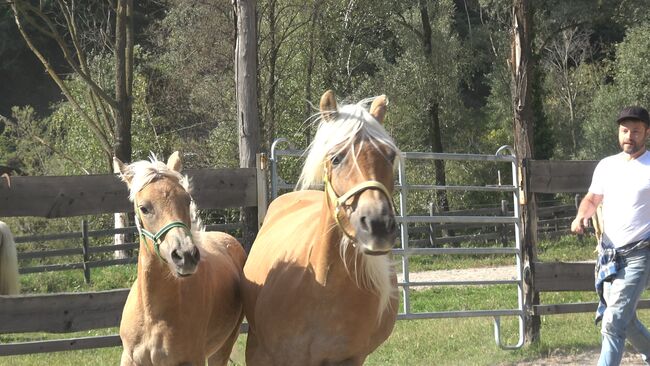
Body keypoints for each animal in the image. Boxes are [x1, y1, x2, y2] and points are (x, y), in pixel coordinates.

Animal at [114, 152, 246, 366]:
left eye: (187, 200)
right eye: (144, 208)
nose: (185, 255)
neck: (153, 316)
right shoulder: (130, 359)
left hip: (223, 347)